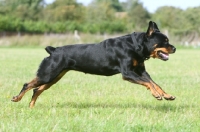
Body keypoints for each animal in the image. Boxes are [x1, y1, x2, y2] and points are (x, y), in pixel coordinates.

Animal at [11, 20, 176, 107]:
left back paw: (31, 107)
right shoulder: (128, 73)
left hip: (55, 76)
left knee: (37, 89)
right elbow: (148, 83)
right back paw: (17, 98)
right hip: (48, 73)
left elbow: (154, 83)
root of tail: (54, 51)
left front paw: (165, 95)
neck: (136, 46)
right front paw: (157, 95)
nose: (174, 48)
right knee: (28, 85)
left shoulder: (140, 71)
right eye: (165, 41)